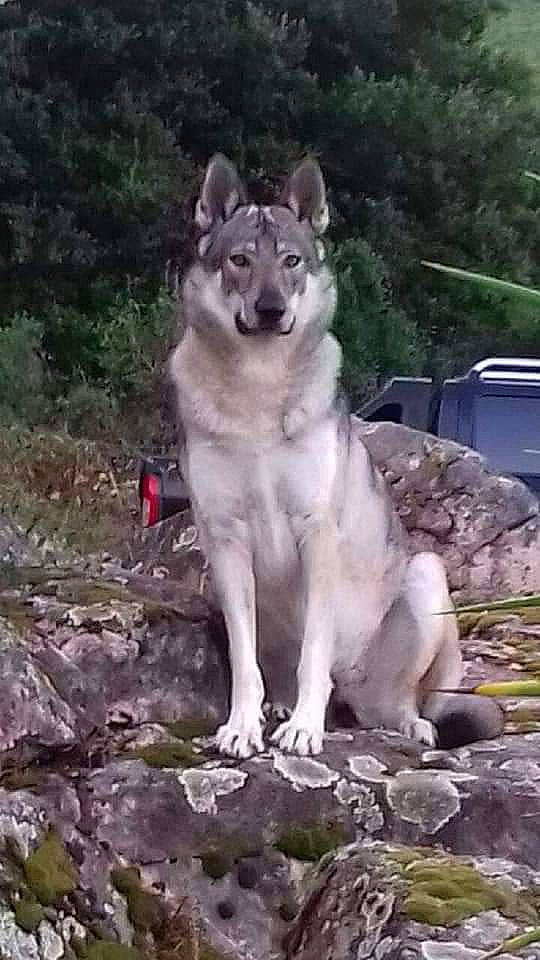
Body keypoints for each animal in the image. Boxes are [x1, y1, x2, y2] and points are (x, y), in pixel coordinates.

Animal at [169, 154, 504, 758]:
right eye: (239, 260)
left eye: (292, 261)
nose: (271, 308)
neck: (258, 389)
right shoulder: (225, 540)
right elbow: (245, 664)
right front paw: (242, 726)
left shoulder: (318, 533)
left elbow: (314, 657)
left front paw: (305, 728)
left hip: (425, 577)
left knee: (403, 704)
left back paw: (406, 723)